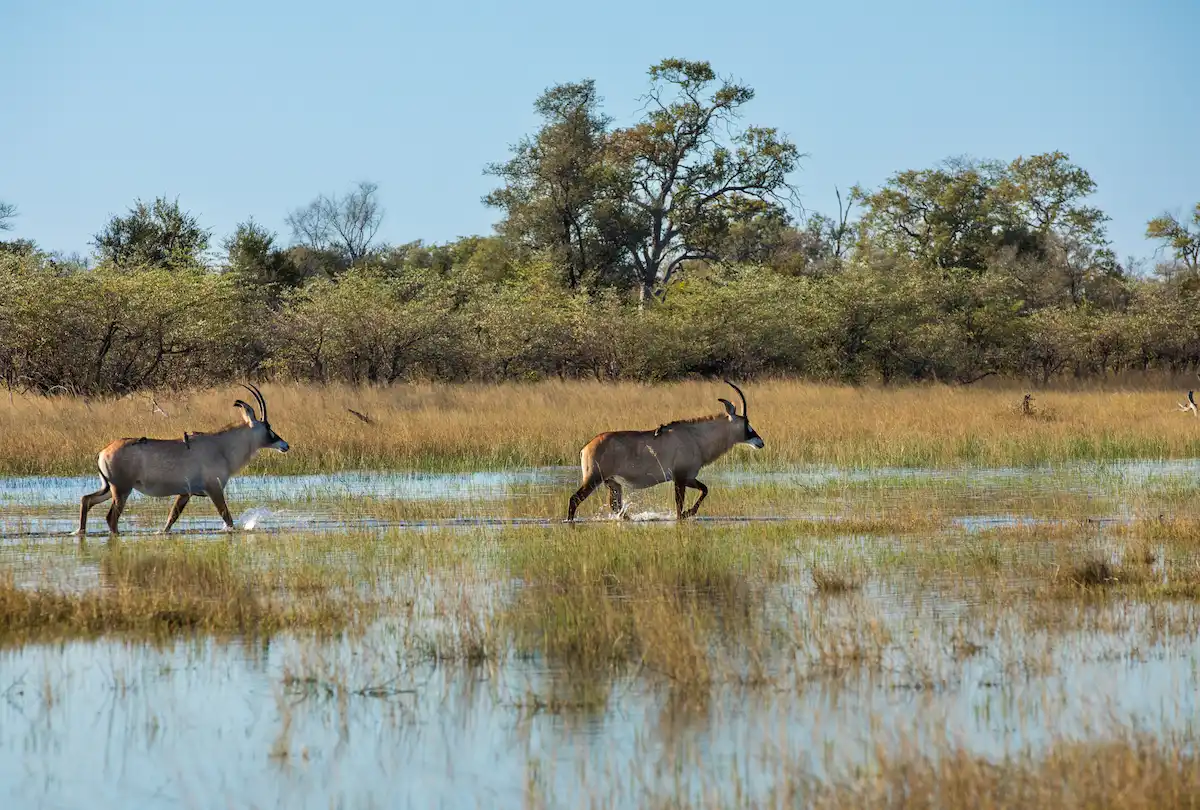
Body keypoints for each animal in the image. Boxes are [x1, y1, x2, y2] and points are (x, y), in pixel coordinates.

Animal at [76, 384, 289, 535]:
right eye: (268, 426)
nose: (284, 445)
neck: (222, 446)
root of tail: (103, 451)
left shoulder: (185, 493)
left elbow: (171, 518)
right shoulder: (214, 488)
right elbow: (227, 517)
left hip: (109, 488)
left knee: (87, 499)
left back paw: (80, 532)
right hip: (121, 490)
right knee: (111, 517)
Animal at [564, 379, 768, 520]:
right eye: (747, 423)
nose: (760, 442)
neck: (696, 437)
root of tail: (586, 447)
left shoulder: (688, 477)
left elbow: (705, 489)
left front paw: (689, 513)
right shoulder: (680, 478)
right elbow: (680, 505)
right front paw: (685, 514)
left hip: (612, 483)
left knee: (617, 507)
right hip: (593, 479)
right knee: (575, 499)